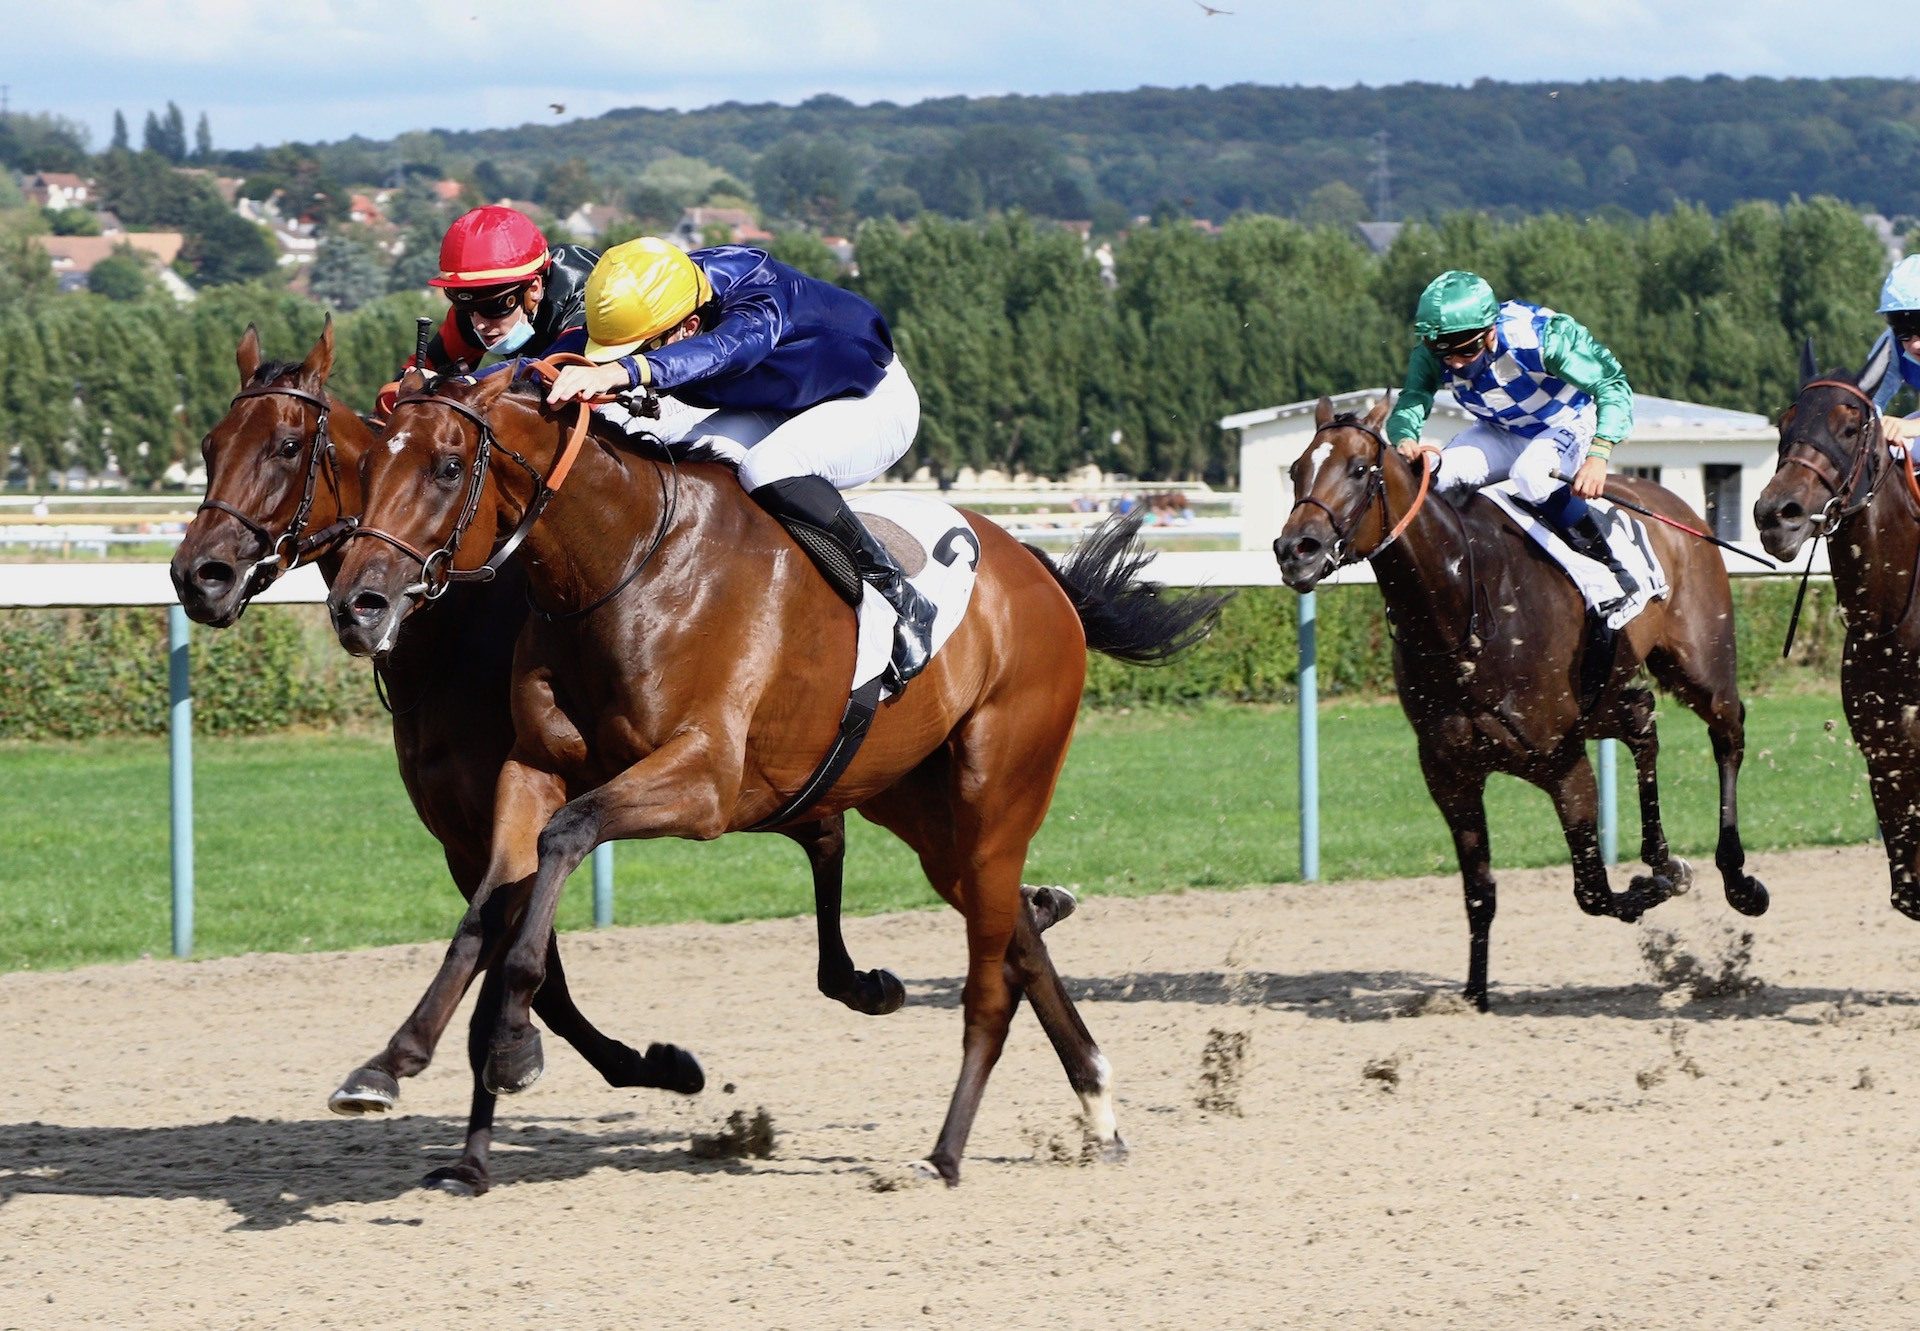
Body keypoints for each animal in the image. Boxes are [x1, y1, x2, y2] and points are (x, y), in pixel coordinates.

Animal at [312, 361, 1213, 1183]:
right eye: (369, 467)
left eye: (447, 466)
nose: (359, 605)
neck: (624, 562)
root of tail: (1041, 574)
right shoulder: (528, 769)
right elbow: (490, 905)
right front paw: (392, 1062)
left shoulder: (704, 778)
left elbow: (566, 839)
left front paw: (509, 1041)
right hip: (927, 808)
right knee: (1013, 932)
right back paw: (1095, 1102)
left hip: (998, 791)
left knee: (989, 983)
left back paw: (946, 1151)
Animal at [1282, 391, 1758, 1006]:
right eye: (1296, 470)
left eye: (1359, 470)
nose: (1294, 550)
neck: (1463, 606)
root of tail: (1682, 510)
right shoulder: (1450, 773)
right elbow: (1479, 892)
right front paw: (1473, 996)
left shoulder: (1562, 762)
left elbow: (1593, 890)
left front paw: (1664, 880)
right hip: (1600, 700)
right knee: (1641, 719)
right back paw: (1657, 850)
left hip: (1700, 667)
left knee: (1727, 733)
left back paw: (1738, 879)